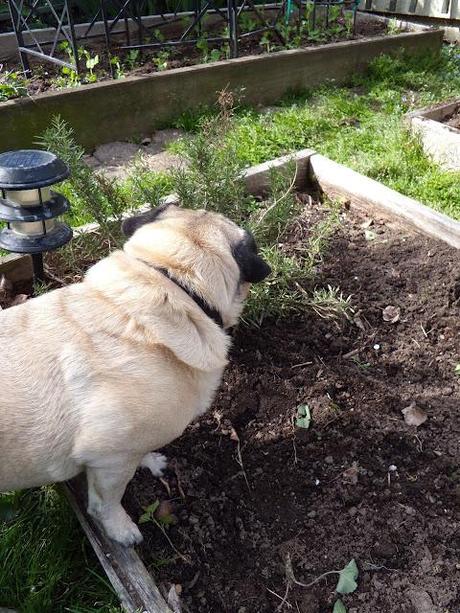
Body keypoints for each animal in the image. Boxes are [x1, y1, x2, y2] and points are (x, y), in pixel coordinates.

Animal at [0, 204, 270, 544]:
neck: (172, 284)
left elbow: (142, 453)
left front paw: (150, 461)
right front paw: (120, 529)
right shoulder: (111, 460)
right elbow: (107, 502)